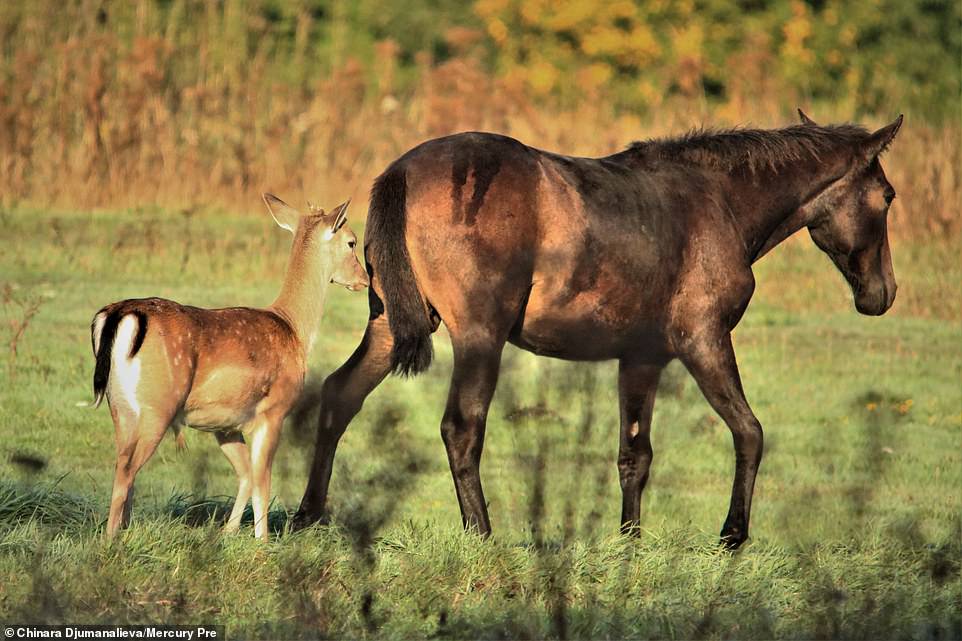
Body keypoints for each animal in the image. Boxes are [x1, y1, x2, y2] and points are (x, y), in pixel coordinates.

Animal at [90, 195, 368, 540]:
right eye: (352, 242)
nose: (365, 279)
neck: (294, 330)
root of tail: (119, 314)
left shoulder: (225, 423)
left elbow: (245, 473)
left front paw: (229, 531)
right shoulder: (273, 410)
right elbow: (262, 479)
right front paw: (263, 541)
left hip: (119, 406)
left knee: (122, 461)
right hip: (158, 404)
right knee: (126, 469)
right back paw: (112, 539)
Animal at [290, 109, 900, 544]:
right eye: (889, 196)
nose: (883, 294)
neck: (715, 201)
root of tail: (402, 171)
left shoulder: (642, 357)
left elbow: (635, 454)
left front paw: (629, 543)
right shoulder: (704, 341)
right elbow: (749, 431)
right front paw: (732, 535)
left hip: (389, 325)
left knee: (340, 396)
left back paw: (307, 516)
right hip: (479, 337)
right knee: (461, 427)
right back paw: (482, 535)